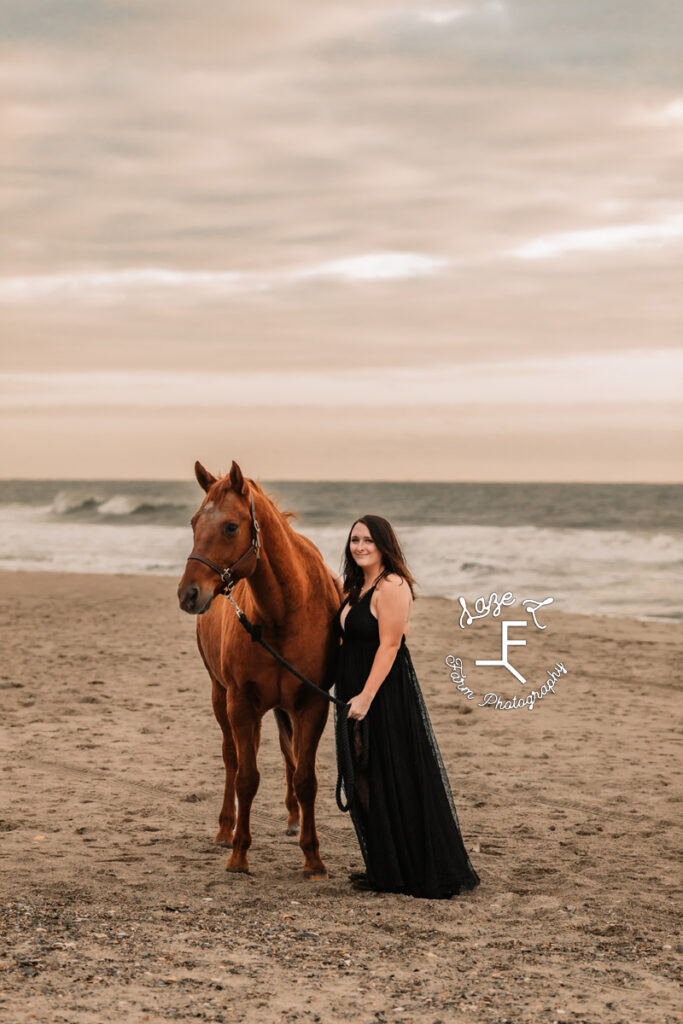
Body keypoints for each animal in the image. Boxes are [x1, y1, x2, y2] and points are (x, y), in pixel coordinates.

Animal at [178, 460, 339, 876]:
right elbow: (246, 777)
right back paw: (225, 830)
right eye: (193, 522)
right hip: (221, 697)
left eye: (230, 526)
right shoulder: (239, 702)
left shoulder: (312, 704)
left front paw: (313, 857)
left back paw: (293, 818)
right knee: (232, 759)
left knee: (286, 754)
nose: (188, 594)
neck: (284, 612)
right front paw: (239, 853)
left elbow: (305, 777)